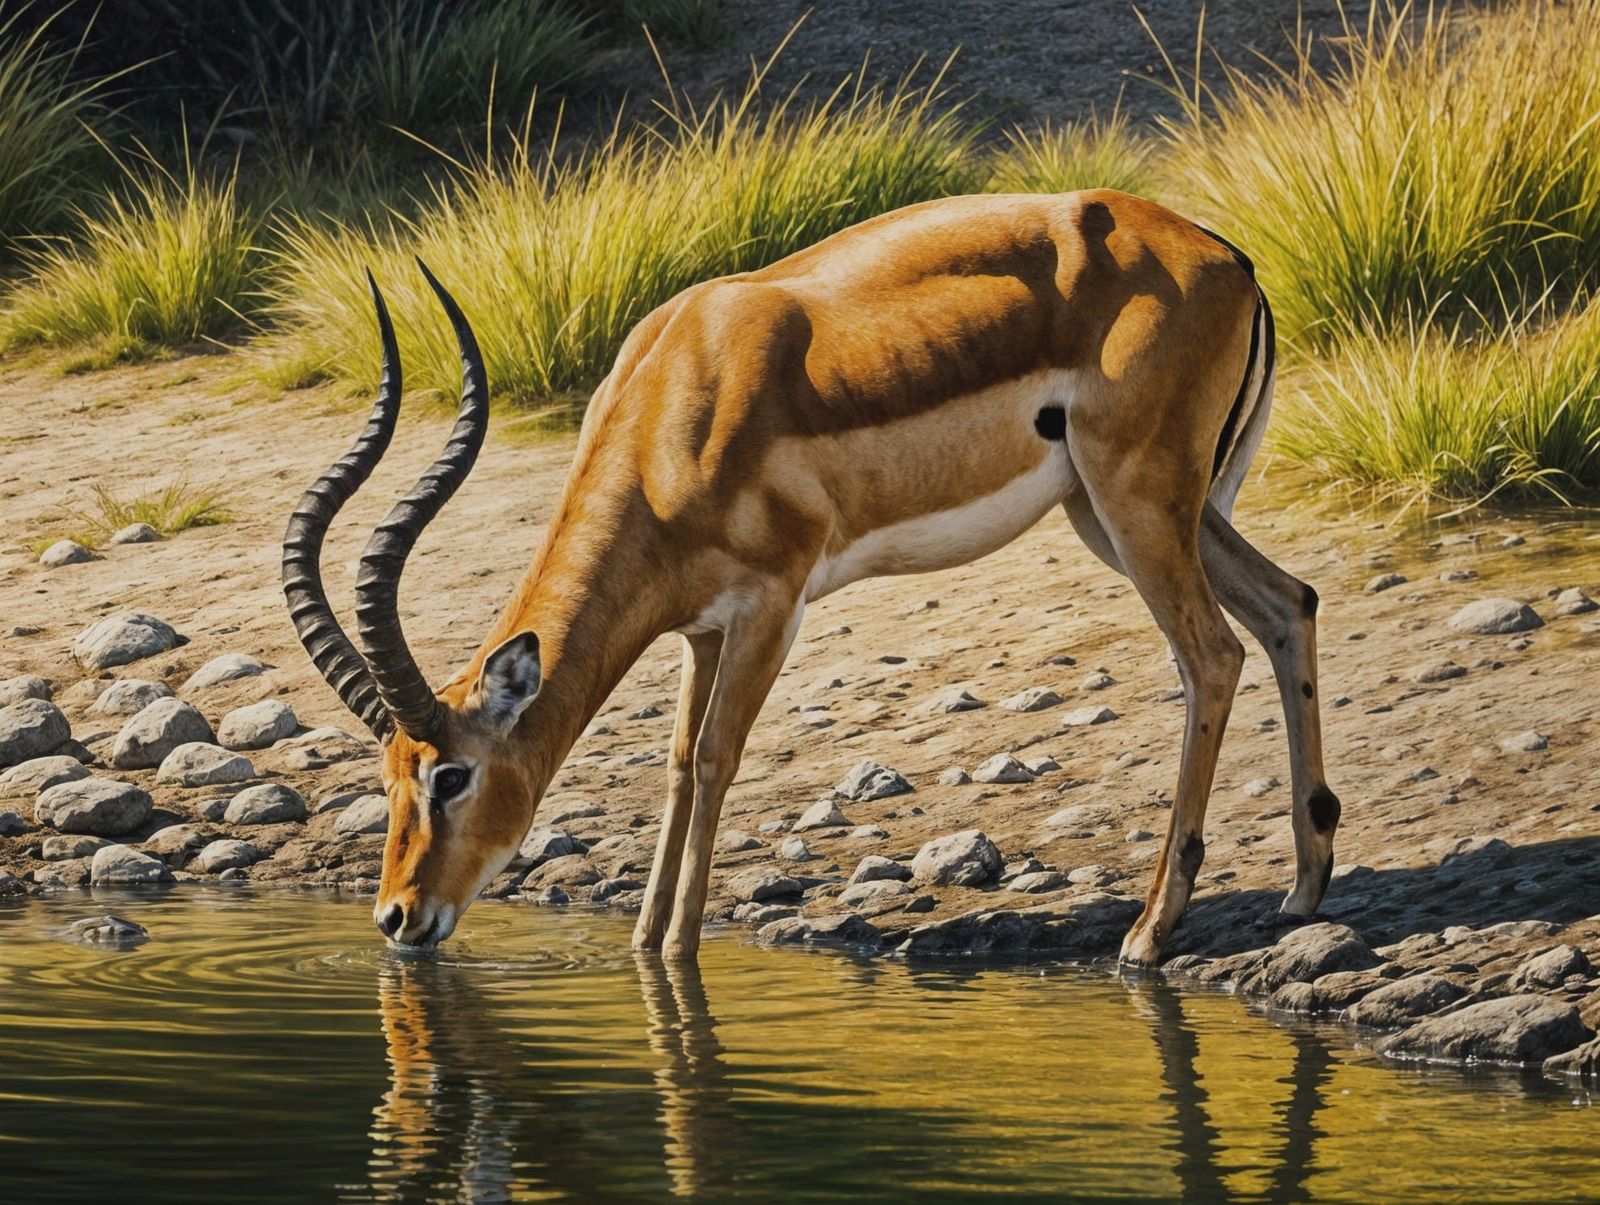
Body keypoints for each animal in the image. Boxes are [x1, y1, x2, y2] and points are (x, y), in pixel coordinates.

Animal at [284, 191, 1342, 965]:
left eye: (450, 775)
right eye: (386, 777)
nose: (397, 917)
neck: (678, 404)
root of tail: (1227, 257)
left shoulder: (771, 606)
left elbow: (718, 757)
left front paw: (676, 955)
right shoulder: (699, 627)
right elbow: (677, 762)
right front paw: (639, 943)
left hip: (1135, 504)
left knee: (1211, 654)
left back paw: (1149, 934)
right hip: (1136, 510)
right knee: (1290, 603)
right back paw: (1303, 887)